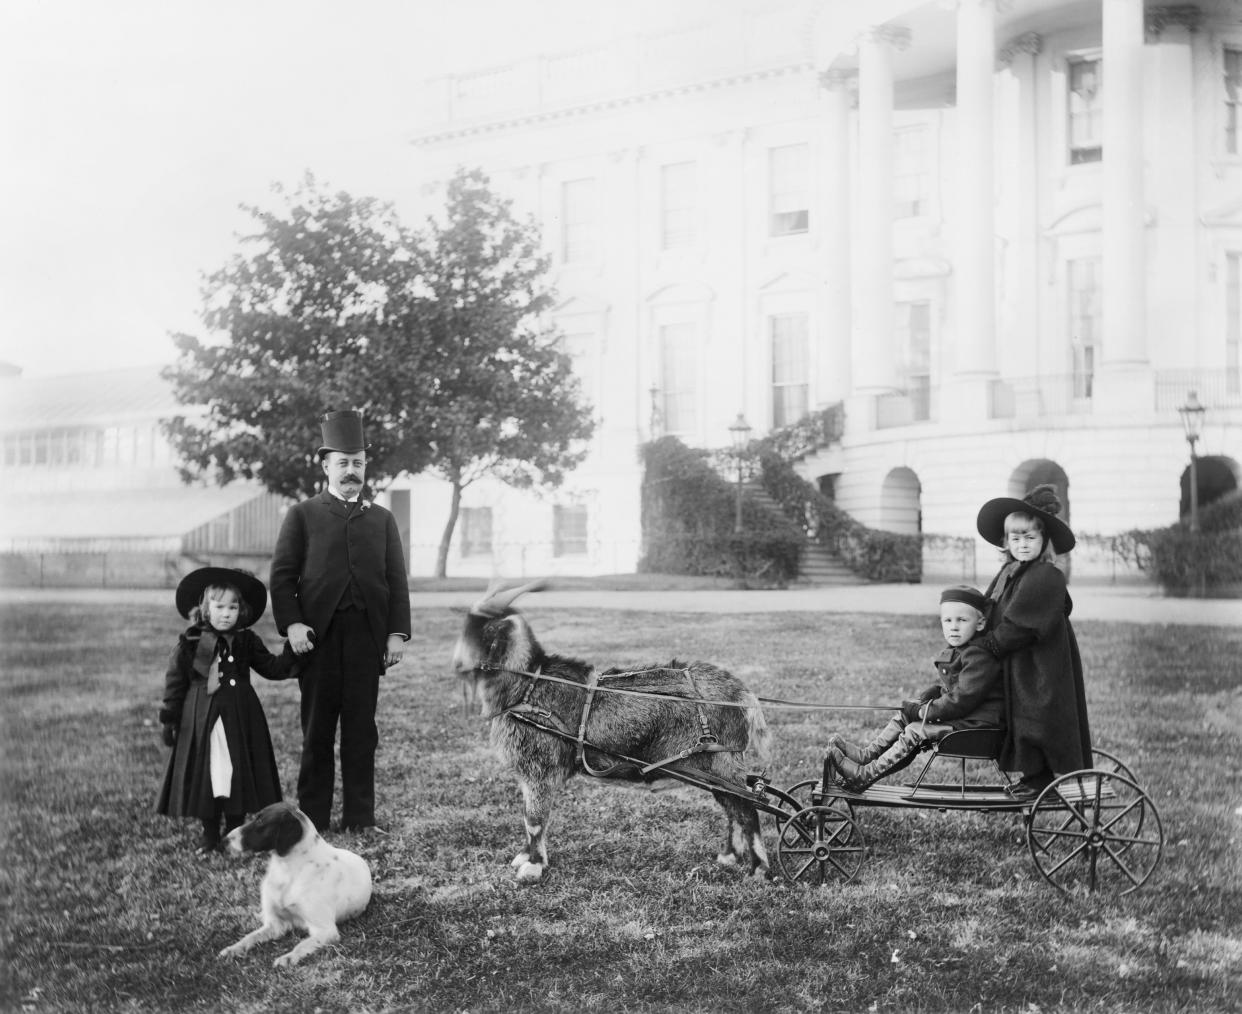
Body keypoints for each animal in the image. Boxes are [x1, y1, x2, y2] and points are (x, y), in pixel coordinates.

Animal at [216, 800, 370, 964]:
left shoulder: (325, 930)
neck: (288, 871)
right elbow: (250, 936)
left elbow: (301, 946)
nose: (224, 840)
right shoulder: (276, 924)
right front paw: (233, 949)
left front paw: (287, 958)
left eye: (260, 821)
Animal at [452, 581, 770, 884]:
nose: (457, 665)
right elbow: (529, 818)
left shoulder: (540, 769)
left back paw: (759, 870)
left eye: (478, 629)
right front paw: (523, 857)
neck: (527, 687)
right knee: (732, 809)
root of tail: (742, 693)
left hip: (721, 762)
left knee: (747, 810)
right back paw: (729, 856)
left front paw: (532, 867)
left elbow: (534, 819)